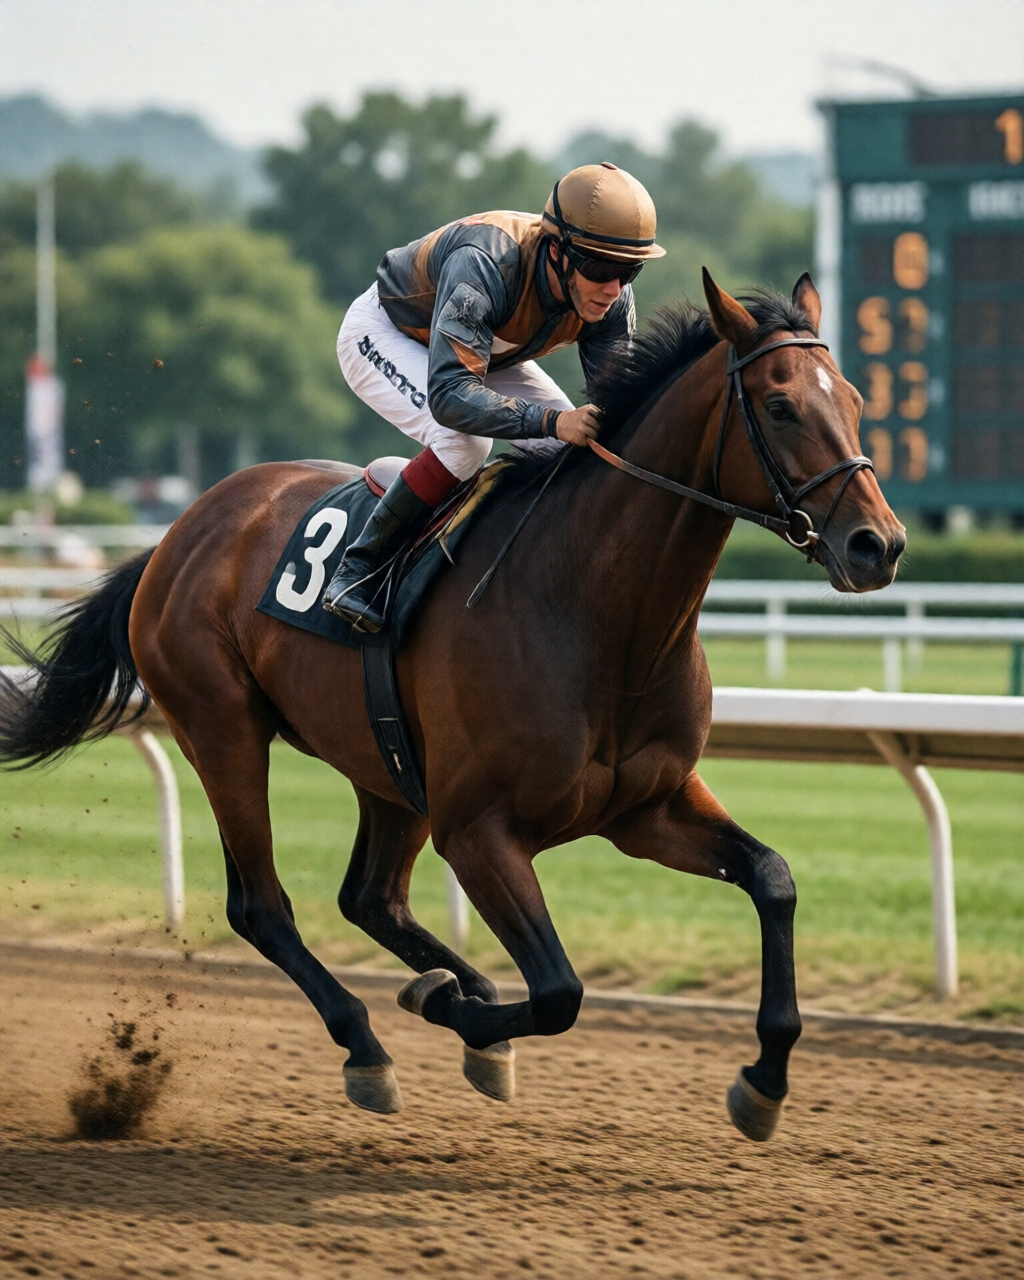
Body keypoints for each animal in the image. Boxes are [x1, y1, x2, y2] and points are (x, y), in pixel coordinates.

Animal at [0, 272, 905, 1142]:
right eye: (782, 406)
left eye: (856, 400)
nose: (879, 545)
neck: (597, 613)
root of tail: (176, 534)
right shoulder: (477, 831)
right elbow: (560, 991)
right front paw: (454, 1011)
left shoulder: (646, 808)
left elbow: (772, 878)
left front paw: (765, 1079)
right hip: (223, 730)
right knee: (263, 906)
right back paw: (372, 1042)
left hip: (385, 763)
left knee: (369, 897)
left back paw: (454, 997)